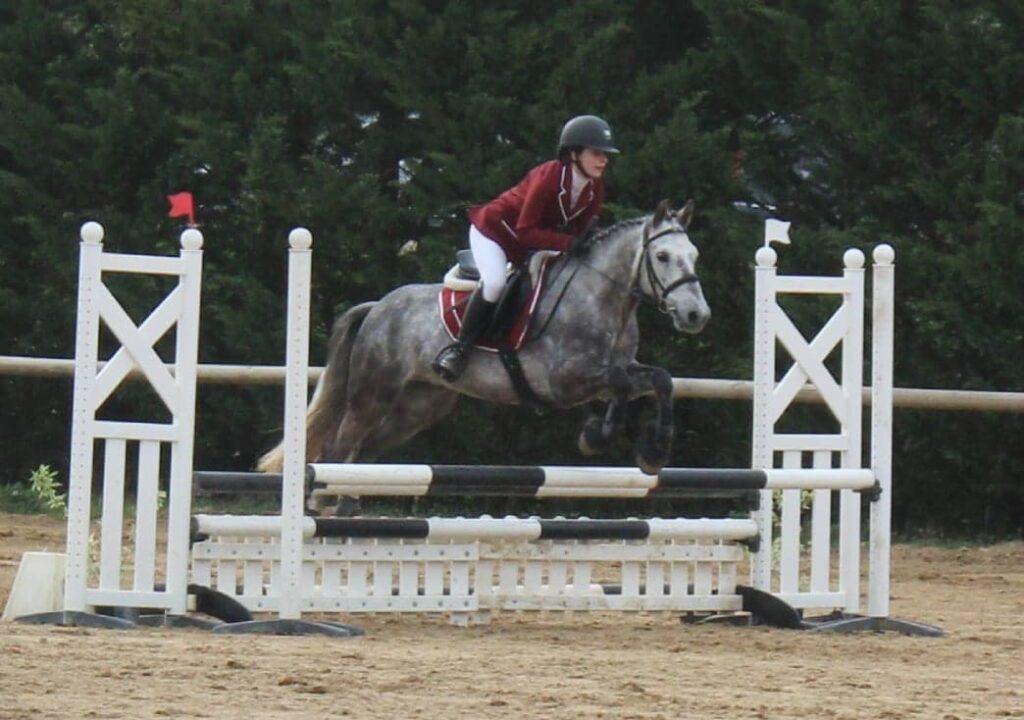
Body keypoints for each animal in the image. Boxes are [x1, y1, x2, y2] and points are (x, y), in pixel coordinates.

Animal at [262, 199, 712, 475]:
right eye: (662, 257)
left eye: (694, 256)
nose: (696, 315)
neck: (606, 296)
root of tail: (378, 307)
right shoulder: (565, 381)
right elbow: (619, 383)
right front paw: (594, 437)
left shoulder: (616, 372)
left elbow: (658, 380)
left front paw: (654, 452)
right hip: (374, 393)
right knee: (338, 450)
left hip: (421, 405)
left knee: (367, 451)